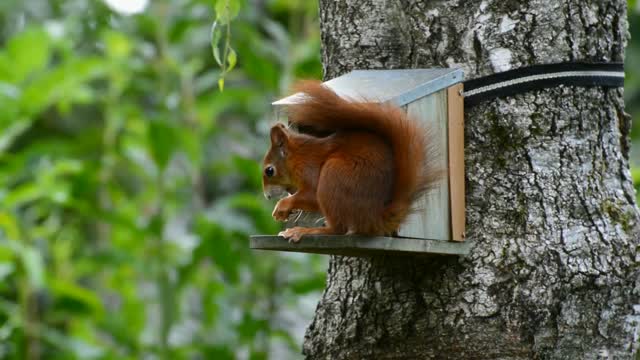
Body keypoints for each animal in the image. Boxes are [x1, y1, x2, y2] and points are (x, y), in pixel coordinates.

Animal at [260, 80, 440, 240]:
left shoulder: (308, 168)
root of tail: (374, 219)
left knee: (338, 229)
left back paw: (306, 231)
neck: (297, 156)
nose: (267, 196)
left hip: (334, 175)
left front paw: (282, 206)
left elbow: (311, 194)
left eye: (269, 171)